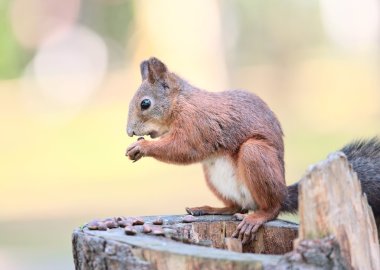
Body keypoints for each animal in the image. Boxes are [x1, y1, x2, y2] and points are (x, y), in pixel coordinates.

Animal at [127, 56, 380, 243]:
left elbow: (183, 148)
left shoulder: (198, 124)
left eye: (145, 103)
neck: (181, 102)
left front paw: (142, 146)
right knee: (236, 206)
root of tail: (282, 192)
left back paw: (257, 217)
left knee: (272, 208)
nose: (129, 131)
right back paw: (211, 209)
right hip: (214, 176)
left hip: (255, 154)